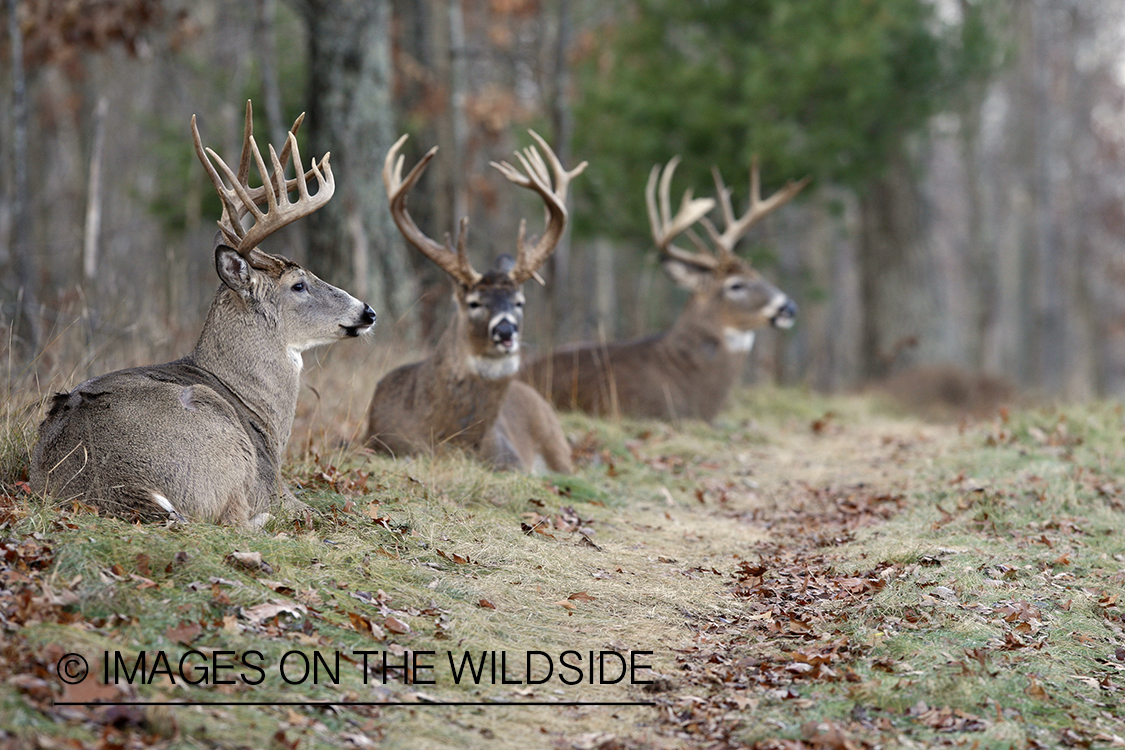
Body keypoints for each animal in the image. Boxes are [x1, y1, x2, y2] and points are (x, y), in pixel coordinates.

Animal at [27, 101, 373, 528]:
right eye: (298, 285)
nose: (368, 311)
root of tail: (125, 487)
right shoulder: (275, 486)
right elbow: (308, 510)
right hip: (226, 445)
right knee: (235, 519)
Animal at [364, 129, 585, 470]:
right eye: (474, 303)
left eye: (519, 302)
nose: (506, 331)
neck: (448, 439)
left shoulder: (512, 461)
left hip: (557, 445)